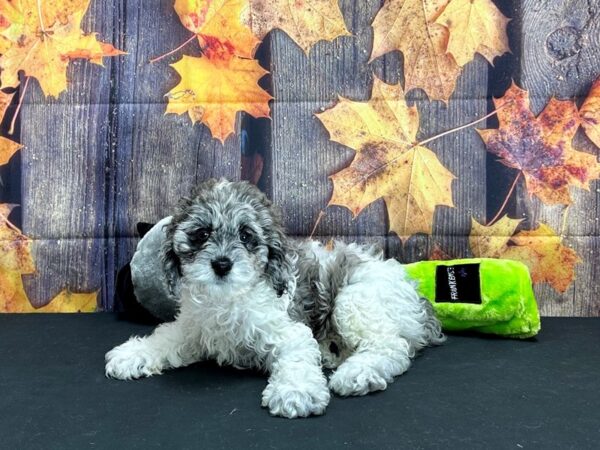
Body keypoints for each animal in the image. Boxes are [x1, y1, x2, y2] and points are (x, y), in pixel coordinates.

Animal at [104, 178, 446, 418]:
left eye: (246, 236)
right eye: (202, 234)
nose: (222, 264)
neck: (228, 300)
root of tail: (416, 296)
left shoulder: (290, 332)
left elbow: (296, 360)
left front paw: (295, 392)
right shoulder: (192, 328)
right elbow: (165, 336)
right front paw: (134, 354)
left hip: (355, 300)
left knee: (392, 347)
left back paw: (356, 373)